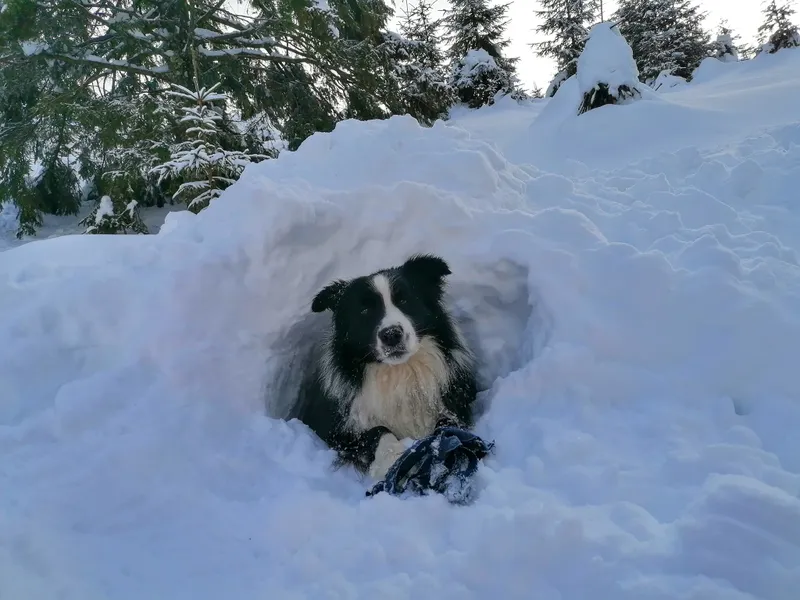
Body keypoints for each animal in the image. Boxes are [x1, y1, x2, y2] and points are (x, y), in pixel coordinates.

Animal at [290, 255, 478, 480]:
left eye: (404, 300)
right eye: (364, 310)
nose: (391, 335)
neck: (399, 372)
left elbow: (447, 426)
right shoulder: (338, 433)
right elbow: (378, 431)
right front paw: (394, 458)